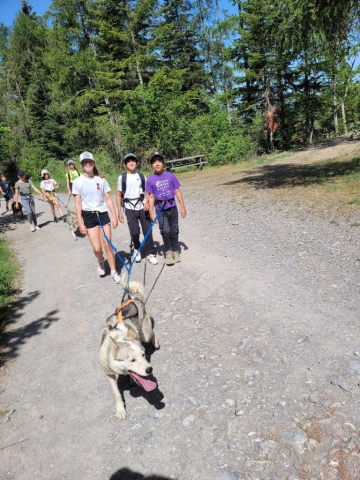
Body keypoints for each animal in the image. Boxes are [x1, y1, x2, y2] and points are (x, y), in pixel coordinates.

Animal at [99, 274, 160, 420]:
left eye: (143, 355)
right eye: (132, 360)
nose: (150, 369)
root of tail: (132, 297)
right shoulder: (109, 374)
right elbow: (116, 393)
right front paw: (120, 409)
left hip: (145, 332)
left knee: (151, 332)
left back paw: (156, 341)